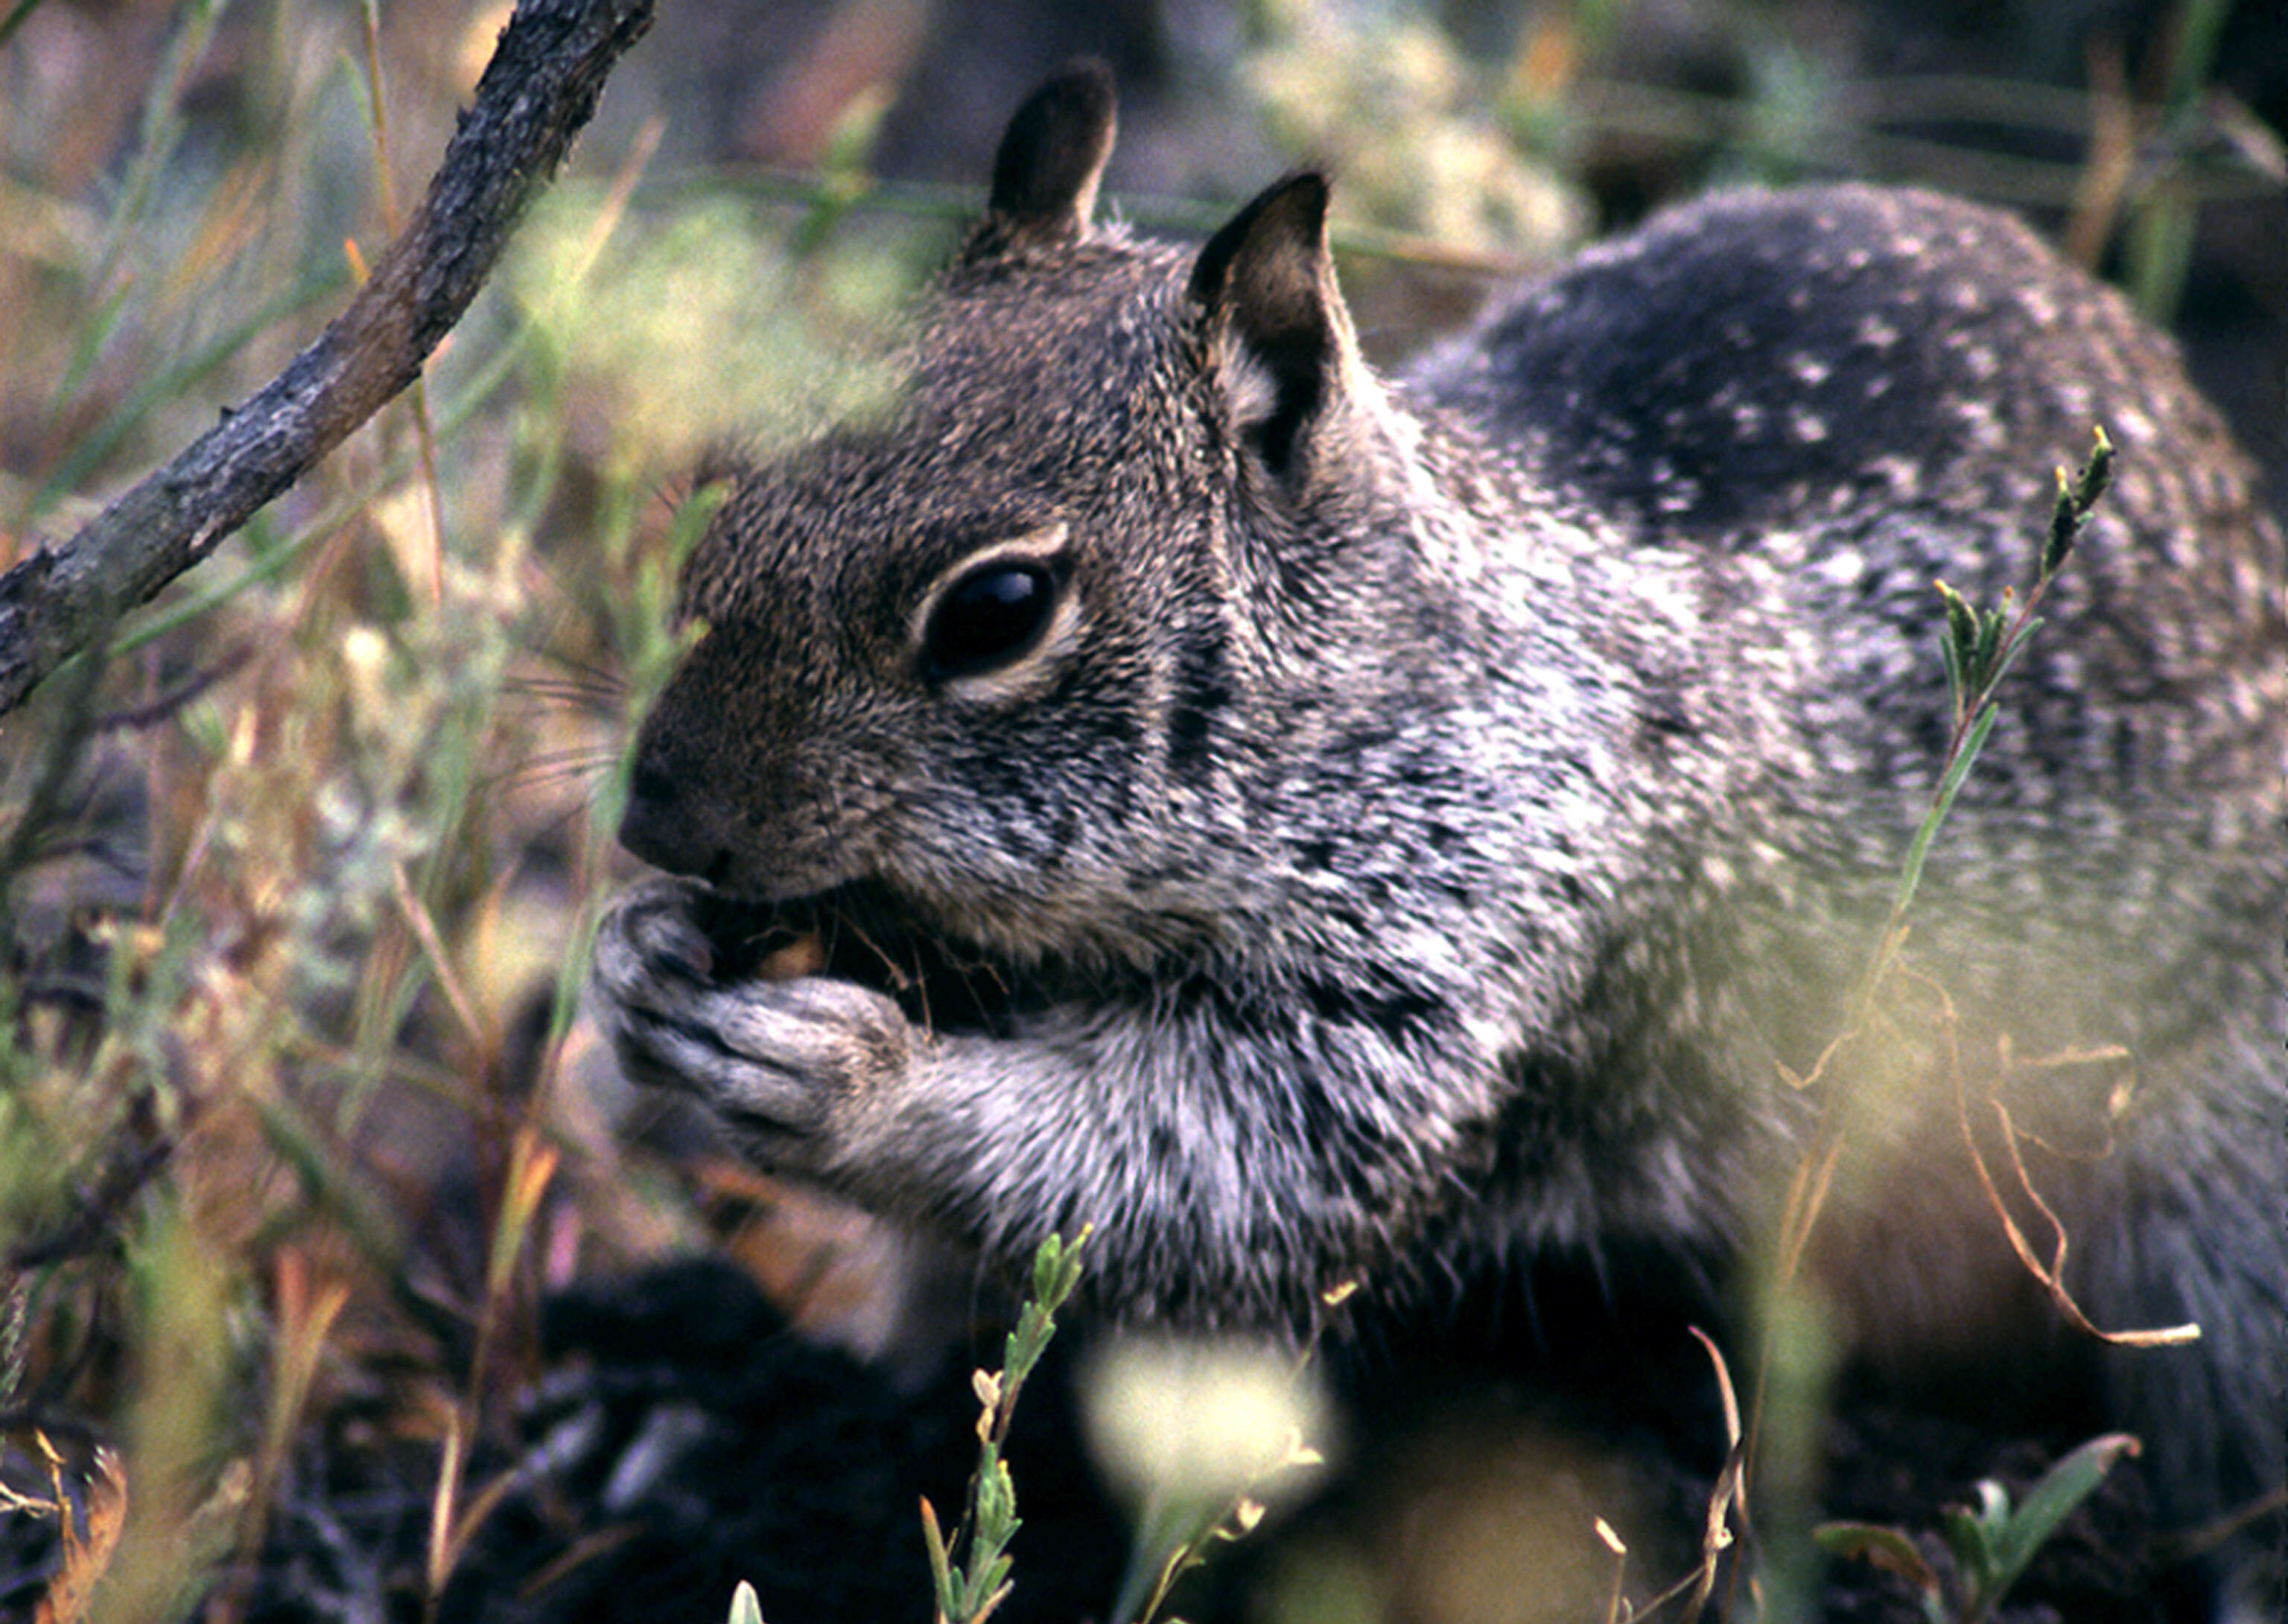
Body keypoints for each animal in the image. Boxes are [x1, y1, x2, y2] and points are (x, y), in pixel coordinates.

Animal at [594, 60, 2288, 1619]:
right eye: (736, 475)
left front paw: (846, 1076)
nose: (654, 814)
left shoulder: (1446, 965)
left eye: (998, 609)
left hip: (2221, 1203)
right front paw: (633, 964)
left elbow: (1215, 1169)